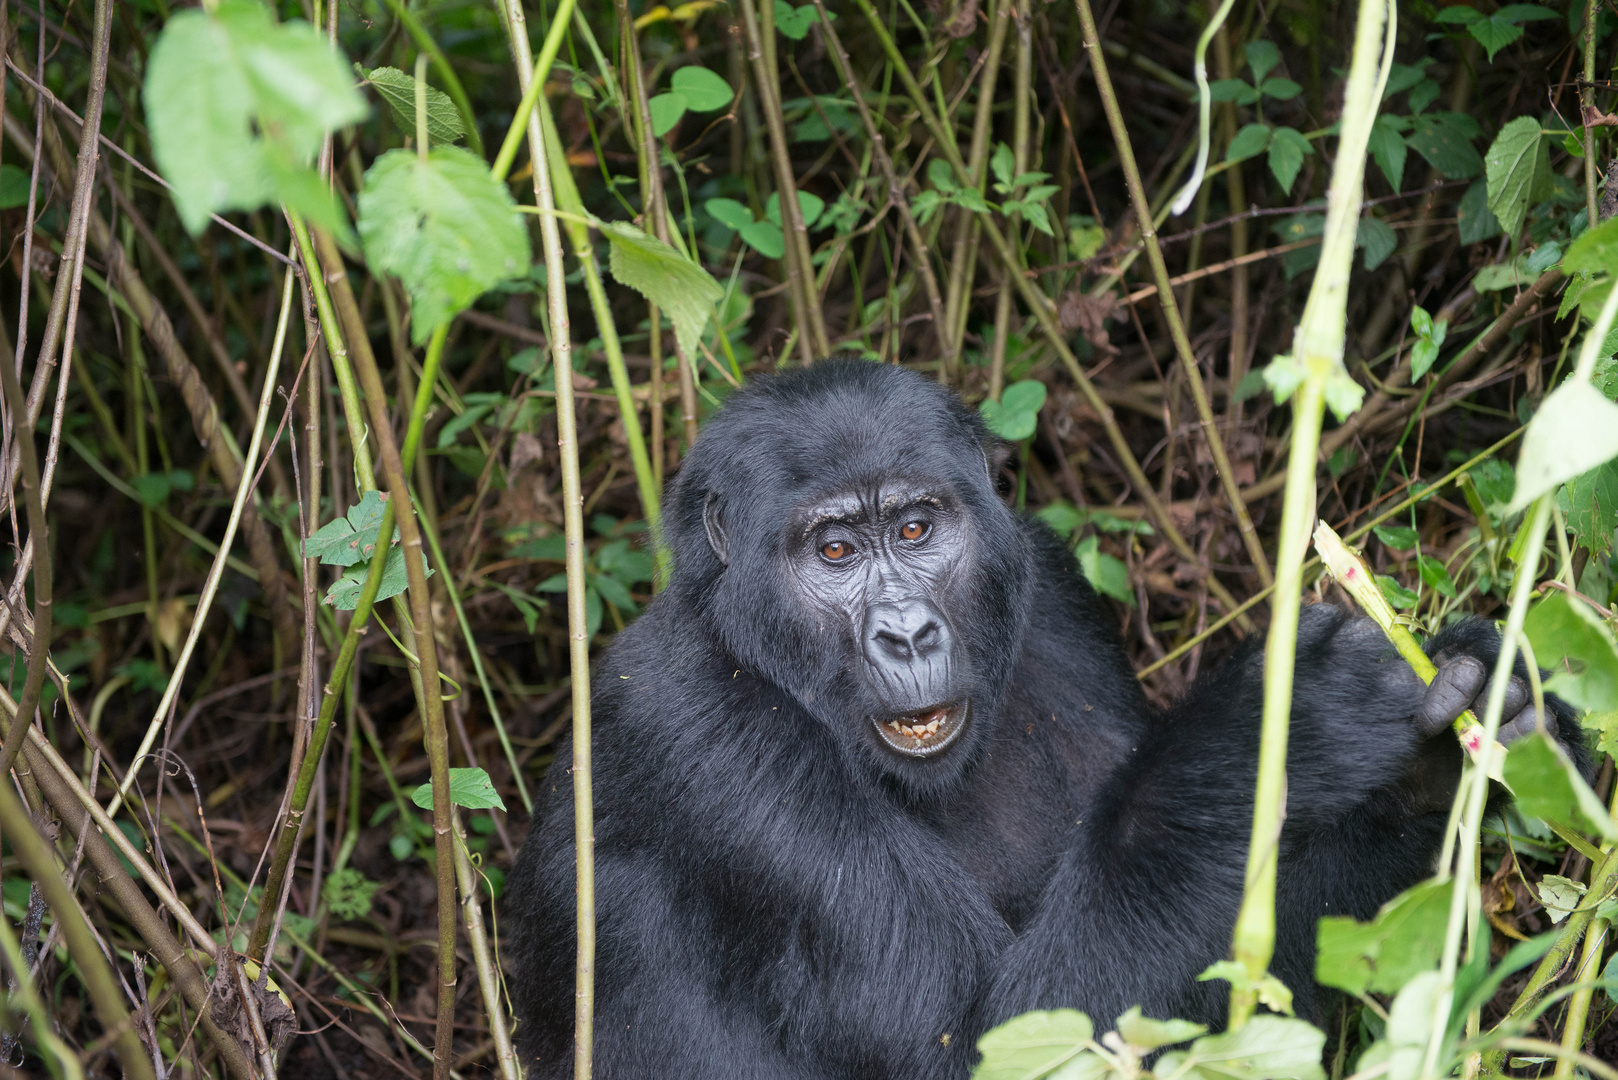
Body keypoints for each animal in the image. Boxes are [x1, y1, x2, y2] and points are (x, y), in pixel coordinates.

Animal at [504, 359, 1579, 1075]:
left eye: (916, 529)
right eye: (835, 554)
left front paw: (1449, 744)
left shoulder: (1053, 589)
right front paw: (1279, 728)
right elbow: (1002, 1039)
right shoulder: (702, 736)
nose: (906, 634)